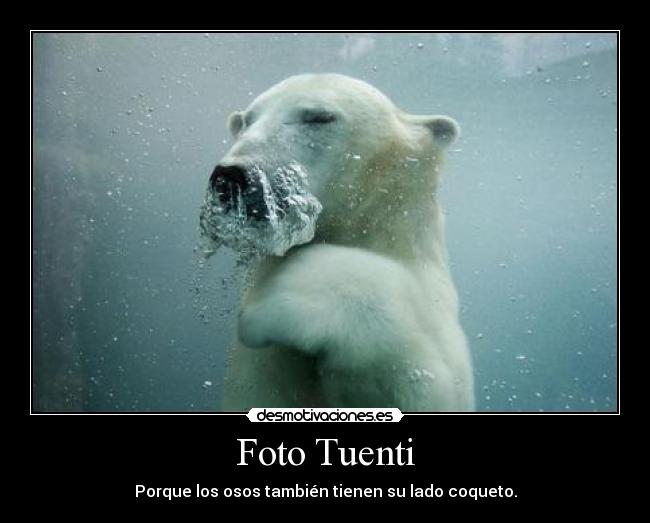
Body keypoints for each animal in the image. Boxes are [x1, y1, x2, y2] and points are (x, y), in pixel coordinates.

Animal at [205, 73, 474, 412]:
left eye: (319, 117)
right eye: (246, 121)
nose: (231, 177)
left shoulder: (434, 306)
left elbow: (430, 379)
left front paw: (269, 304)